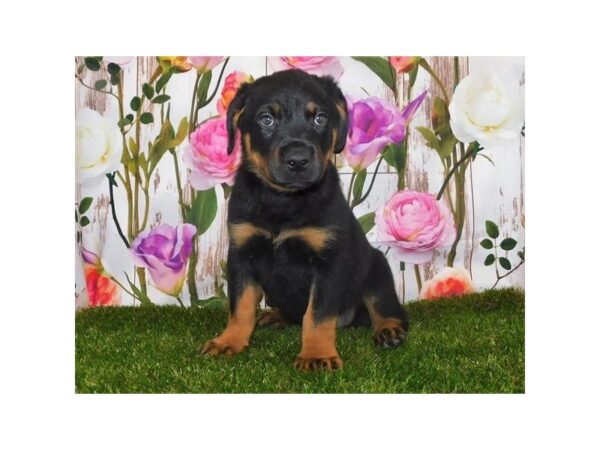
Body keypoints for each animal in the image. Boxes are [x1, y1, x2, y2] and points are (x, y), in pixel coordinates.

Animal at [200, 69, 408, 370]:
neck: (284, 201)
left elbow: (317, 314)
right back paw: (276, 316)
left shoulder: (329, 262)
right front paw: (230, 340)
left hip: (377, 268)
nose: (298, 161)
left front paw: (316, 354)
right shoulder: (242, 253)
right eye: (266, 119)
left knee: (385, 305)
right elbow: (240, 306)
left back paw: (389, 330)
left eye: (320, 118)